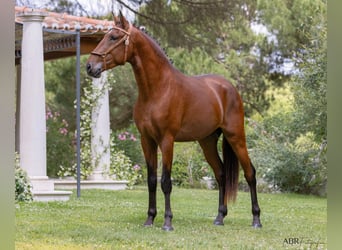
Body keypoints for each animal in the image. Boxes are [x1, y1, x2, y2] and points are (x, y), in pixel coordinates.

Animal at [85, 13, 262, 230]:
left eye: (113, 37)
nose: (90, 66)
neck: (158, 90)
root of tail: (230, 88)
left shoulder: (167, 140)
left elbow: (166, 182)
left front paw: (167, 222)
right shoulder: (147, 140)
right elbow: (152, 180)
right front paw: (150, 218)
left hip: (236, 137)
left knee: (250, 173)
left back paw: (256, 219)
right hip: (207, 142)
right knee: (221, 174)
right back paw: (220, 217)